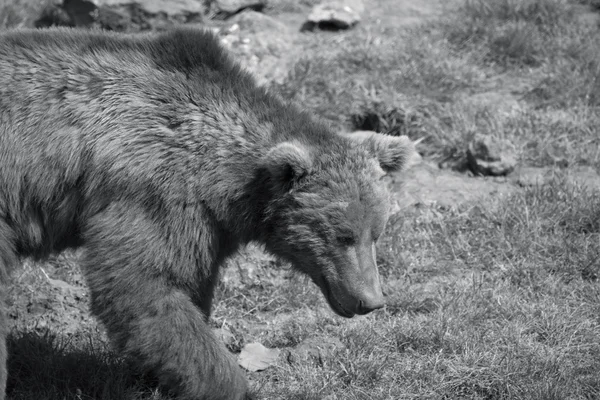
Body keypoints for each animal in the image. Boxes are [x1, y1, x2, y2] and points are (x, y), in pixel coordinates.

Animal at [0, 26, 418, 398]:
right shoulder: (154, 191)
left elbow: (189, 287)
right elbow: (143, 283)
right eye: (343, 235)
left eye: (377, 232)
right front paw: (228, 384)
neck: (223, 177)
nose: (370, 301)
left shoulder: (206, 226)